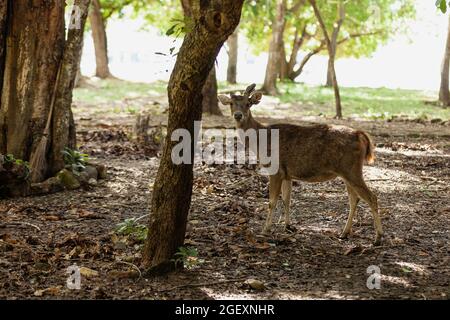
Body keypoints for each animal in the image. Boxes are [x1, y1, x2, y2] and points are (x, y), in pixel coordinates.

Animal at [218, 83, 384, 245]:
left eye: (248, 103)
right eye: (231, 103)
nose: (238, 115)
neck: (260, 142)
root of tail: (361, 135)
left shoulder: (276, 169)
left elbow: (272, 201)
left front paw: (265, 230)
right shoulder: (287, 174)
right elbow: (287, 199)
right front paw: (288, 226)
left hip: (351, 169)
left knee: (371, 197)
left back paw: (378, 238)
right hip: (347, 172)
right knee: (354, 199)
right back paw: (344, 233)